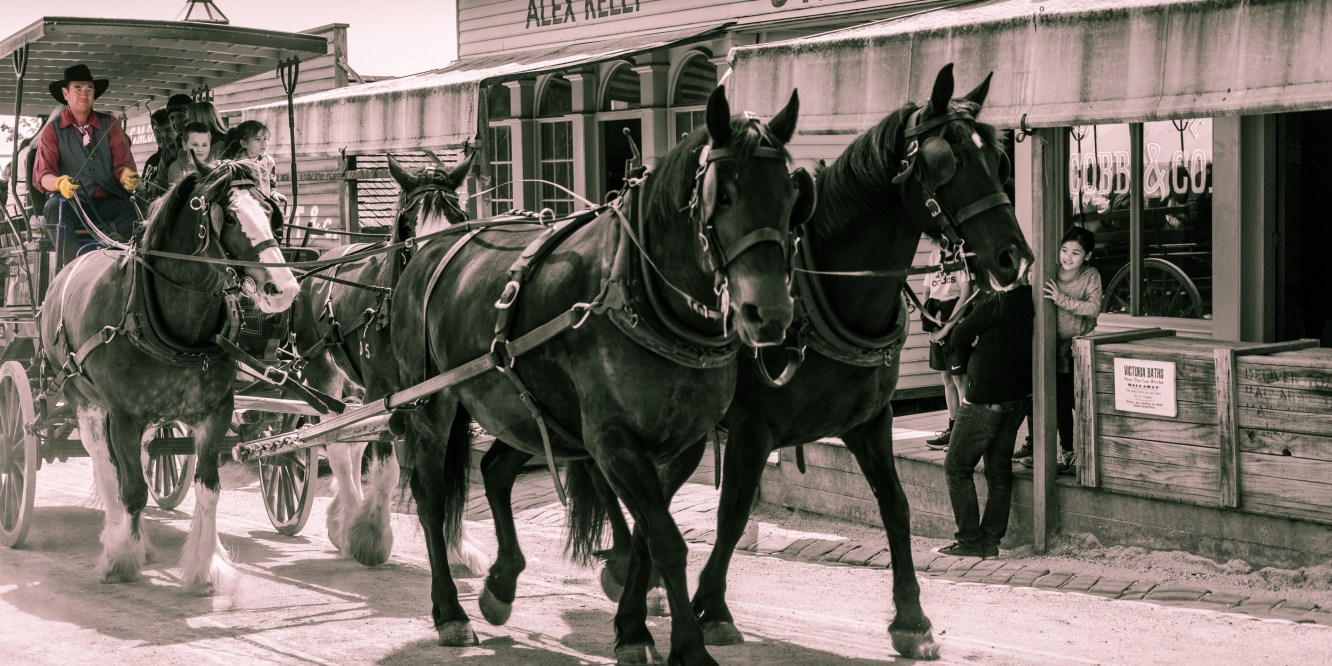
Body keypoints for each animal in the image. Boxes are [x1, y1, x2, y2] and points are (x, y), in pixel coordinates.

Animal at [39, 158, 298, 592]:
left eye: (270, 212)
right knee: (105, 467)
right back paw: (117, 536)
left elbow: (208, 489)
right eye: (229, 217)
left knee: (140, 458)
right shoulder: (123, 416)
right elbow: (131, 489)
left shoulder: (216, 413)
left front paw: (205, 566)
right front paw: (121, 558)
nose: (285, 289)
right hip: (84, 401)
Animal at [288, 150, 485, 571]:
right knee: (336, 444)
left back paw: (340, 519)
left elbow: (446, 469)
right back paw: (349, 520)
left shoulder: (447, 395)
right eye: (408, 228)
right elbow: (387, 466)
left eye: (459, 220)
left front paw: (458, 546)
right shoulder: (384, 389)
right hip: (321, 371)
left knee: (352, 437)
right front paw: (370, 536)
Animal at [387, 84, 806, 663]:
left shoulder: (682, 446)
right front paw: (686, 645)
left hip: (524, 407)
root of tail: (429, 249)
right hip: (432, 405)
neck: (644, 295)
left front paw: (632, 625)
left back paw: (502, 582)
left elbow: (651, 533)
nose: (768, 314)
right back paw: (450, 611)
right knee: (429, 496)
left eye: (791, 196)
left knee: (495, 470)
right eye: (722, 196)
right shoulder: (613, 440)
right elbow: (667, 539)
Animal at [544, 63, 1034, 660]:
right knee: (615, 484)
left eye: (999, 159)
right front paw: (713, 607)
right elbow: (732, 516)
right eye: (947, 161)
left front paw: (912, 620)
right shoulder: (752, 431)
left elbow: (896, 507)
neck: (822, 294)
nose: (1013, 256)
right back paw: (627, 575)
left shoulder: (870, 423)